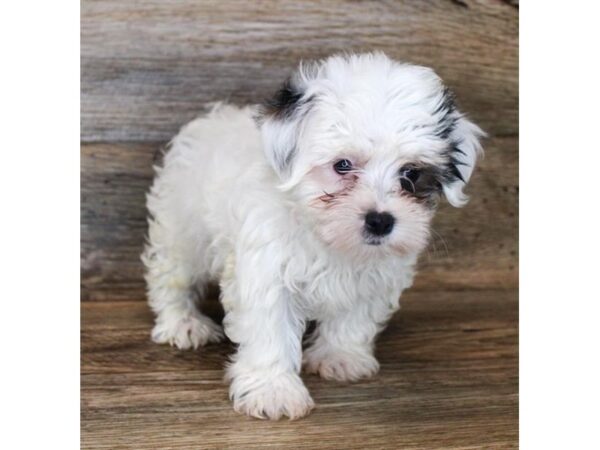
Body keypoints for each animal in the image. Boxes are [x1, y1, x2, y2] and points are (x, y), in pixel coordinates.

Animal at [143, 53, 486, 422]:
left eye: (411, 173)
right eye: (342, 165)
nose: (380, 221)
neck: (325, 235)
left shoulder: (374, 274)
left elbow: (354, 317)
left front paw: (341, 357)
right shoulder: (266, 270)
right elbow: (270, 330)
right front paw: (273, 390)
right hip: (182, 227)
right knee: (172, 276)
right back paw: (183, 323)